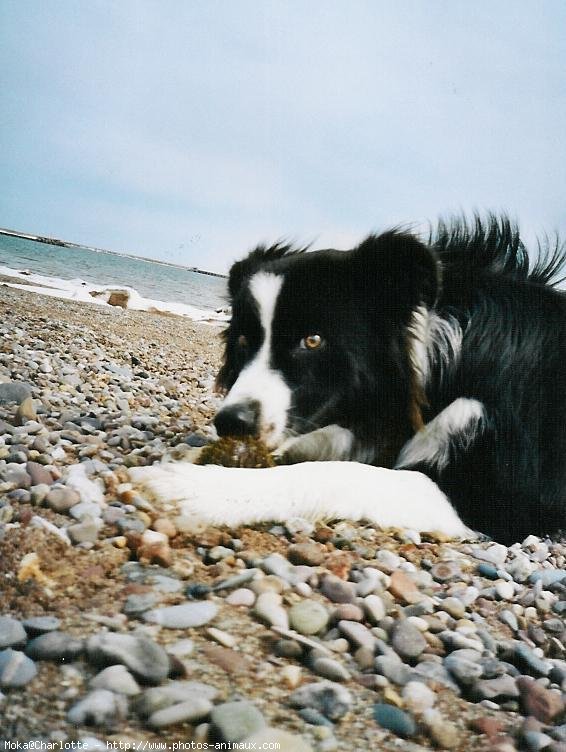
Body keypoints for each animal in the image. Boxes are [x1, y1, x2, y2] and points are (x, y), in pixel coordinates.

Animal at [133, 214, 566, 544]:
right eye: (242, 341)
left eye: (313, 340)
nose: (231, 423)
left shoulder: (500, 498)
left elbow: (342, 474)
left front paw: (192, 487)